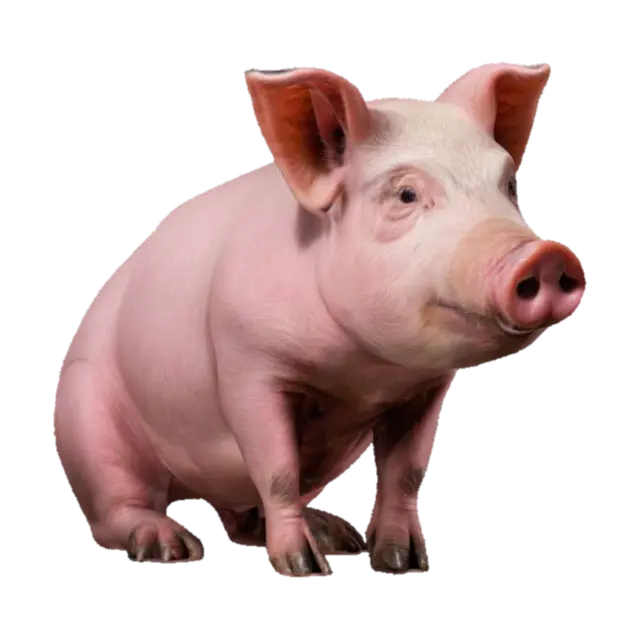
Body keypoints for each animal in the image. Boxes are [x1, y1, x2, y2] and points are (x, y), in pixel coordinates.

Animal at [52, 61, 586, 577]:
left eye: (509, 186)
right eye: (406, 194)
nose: (545, 255)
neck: (363, 371)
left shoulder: (427, 386)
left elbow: (405, 471)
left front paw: (402, 563)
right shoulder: (247, 366)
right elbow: (278, 471)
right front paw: (303, 569)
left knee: (239, 517)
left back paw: (335, 533)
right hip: (86, 418)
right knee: (119, 507)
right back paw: (172, 547)